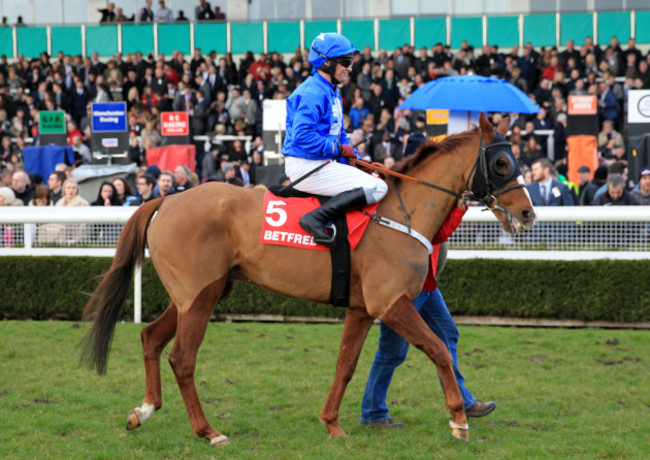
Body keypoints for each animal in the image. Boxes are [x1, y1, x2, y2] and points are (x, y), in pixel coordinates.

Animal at [81, 113, 536, 448]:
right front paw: (459, 419)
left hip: (196, 294)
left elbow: (346, 365)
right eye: (501, 163)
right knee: (182, 358)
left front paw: (332, 423)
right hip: (199, 297)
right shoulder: (391, 303)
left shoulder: (362, 308)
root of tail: (166, 198)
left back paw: (143, 411)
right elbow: (439, 349)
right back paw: (208, 431)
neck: (401, 213)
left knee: (151, 338)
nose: (529, 213)